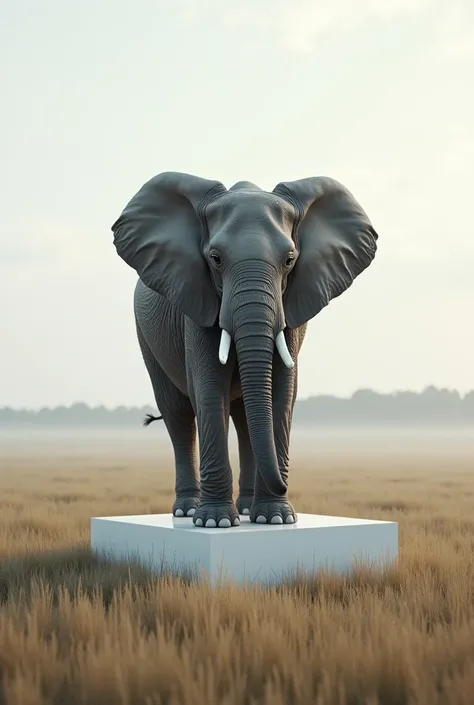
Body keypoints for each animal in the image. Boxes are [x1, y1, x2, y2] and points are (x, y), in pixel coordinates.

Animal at [110, 172, 378, 528]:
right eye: (215, 258)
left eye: (290, 260)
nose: (285, 482)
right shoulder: (197, 303)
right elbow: (209, 390)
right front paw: (216, 522)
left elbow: (281, 392)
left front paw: (276, 518)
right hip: (146, 335)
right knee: (178, 414)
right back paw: (187, 511)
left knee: (243, 418)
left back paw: (250, 510)